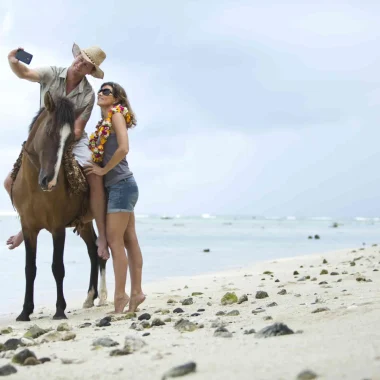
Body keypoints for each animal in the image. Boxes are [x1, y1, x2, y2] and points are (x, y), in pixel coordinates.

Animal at [12, 91, 107, 320]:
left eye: (70, 138)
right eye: (49, 131)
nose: (49, 181)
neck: (33, 188)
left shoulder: (57, 228)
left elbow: (58, 267)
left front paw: (60, 309)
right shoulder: (28, 228)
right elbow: (30, 268)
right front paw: (25, 311)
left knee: (103, 251)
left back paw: (103, 296)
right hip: (84, 223)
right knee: (93, 250)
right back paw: (90, 297)